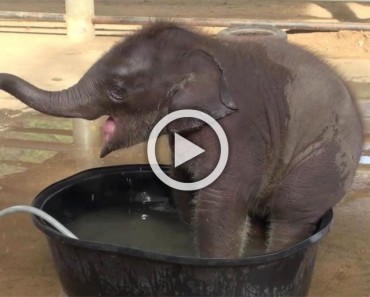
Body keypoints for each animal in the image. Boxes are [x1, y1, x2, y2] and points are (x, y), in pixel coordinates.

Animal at [0, 22, 362, 256]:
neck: (207, 47)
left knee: (291, 213)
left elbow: (221, 201)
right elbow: (183, 183)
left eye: (118, 90)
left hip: (325, 159)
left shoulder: (241, 129)